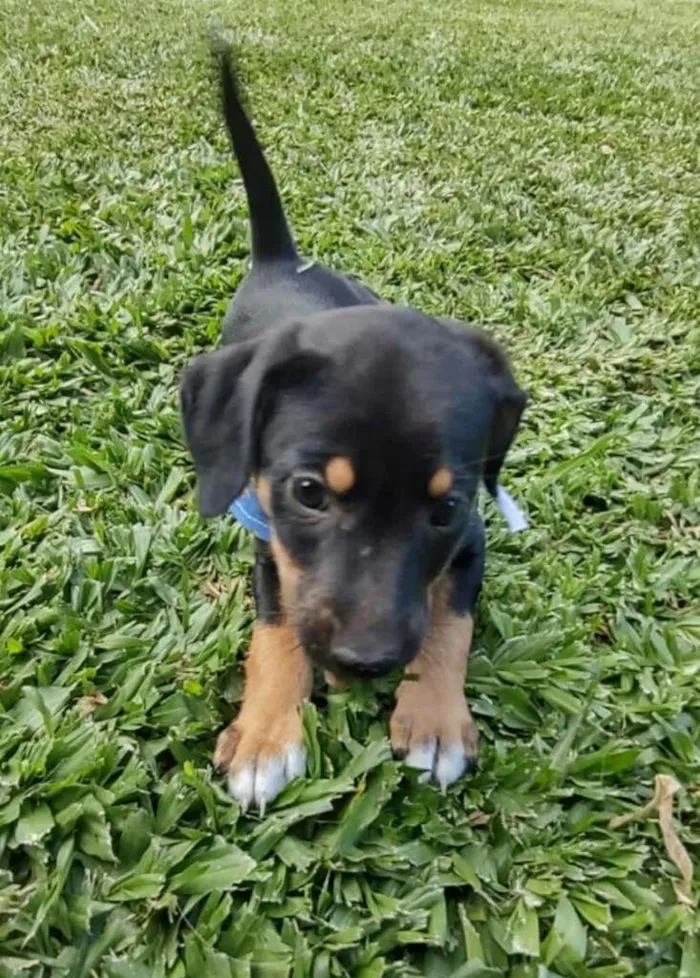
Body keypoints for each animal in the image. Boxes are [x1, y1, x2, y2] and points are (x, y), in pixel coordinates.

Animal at [180, 53, 524, 808]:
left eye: (445, 508)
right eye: (309, 492)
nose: (366, 663)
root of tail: (281, 260)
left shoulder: (471, 540)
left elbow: (450, 623)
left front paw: (434, 721)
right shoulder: (270, 540)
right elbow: (276, 629)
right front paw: (265, 736)